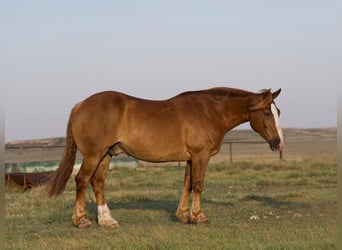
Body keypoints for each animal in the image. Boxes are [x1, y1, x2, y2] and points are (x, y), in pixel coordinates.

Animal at [46, 86, 284, 229]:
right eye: (266, 113)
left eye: (278, 112)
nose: (279, 143)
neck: (209, 112)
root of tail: (80, 105)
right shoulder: (201, 156)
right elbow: (198, 184)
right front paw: (199, 217)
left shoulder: (190, 158)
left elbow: (187, 184)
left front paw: (183, 215)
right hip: (93, 155)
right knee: (82, 180)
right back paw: (81, 220)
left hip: (105, 155)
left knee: (97, 183)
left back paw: (107, 220)